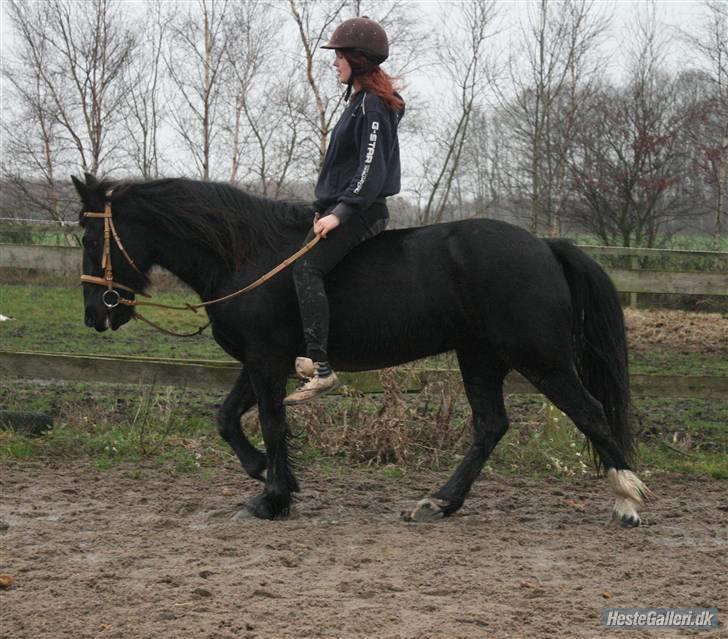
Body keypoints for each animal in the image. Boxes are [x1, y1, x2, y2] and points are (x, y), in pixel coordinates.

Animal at [71, 172, 652, 525]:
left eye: (88, 237)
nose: (96, 315)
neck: (245, 255)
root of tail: (545, 246)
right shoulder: (263, 361)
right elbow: (227, 419)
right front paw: (267, 475)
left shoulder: (265, 362)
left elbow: (271, 423)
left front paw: (274, 497)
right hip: (480, 357)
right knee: (491, 426)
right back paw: (440, 501)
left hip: (541, 359)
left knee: (590, 413)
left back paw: (627, 500)